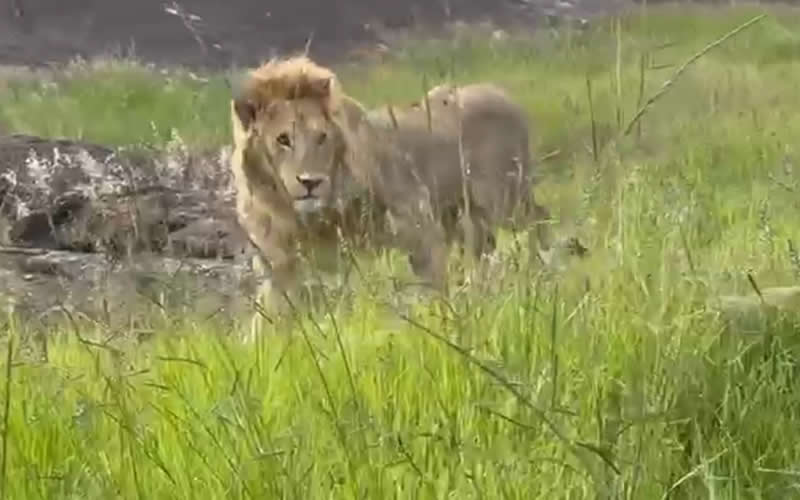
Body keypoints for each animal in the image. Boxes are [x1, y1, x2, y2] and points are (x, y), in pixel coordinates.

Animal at [230, 55, 552, 315]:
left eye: (322, 137)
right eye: (283, 139)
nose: (311, 182)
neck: (302, 218)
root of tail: (505, 96)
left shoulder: (419, 226)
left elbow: (434, 286)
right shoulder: (279, 271)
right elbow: (266, 325)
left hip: (505, 202)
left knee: (539, 219)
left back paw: (543, 271)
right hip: (465, 216)